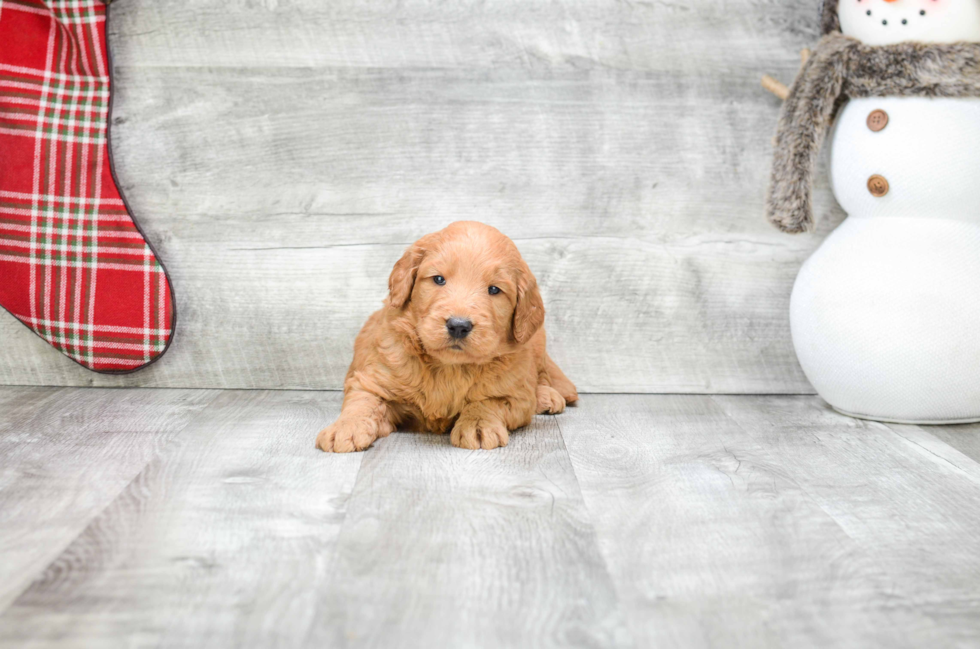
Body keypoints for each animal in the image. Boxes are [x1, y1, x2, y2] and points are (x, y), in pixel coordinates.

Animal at [316, 220, 576, 454]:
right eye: (438, 279)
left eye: (494, 290)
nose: (458, 326)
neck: (449, 368)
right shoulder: (372, 380)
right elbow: (363, 403)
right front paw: (346, 428)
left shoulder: (515, 396)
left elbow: (488, 401)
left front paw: (477, 425)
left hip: (538, 341)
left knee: (540, 376)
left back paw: (546, 396)